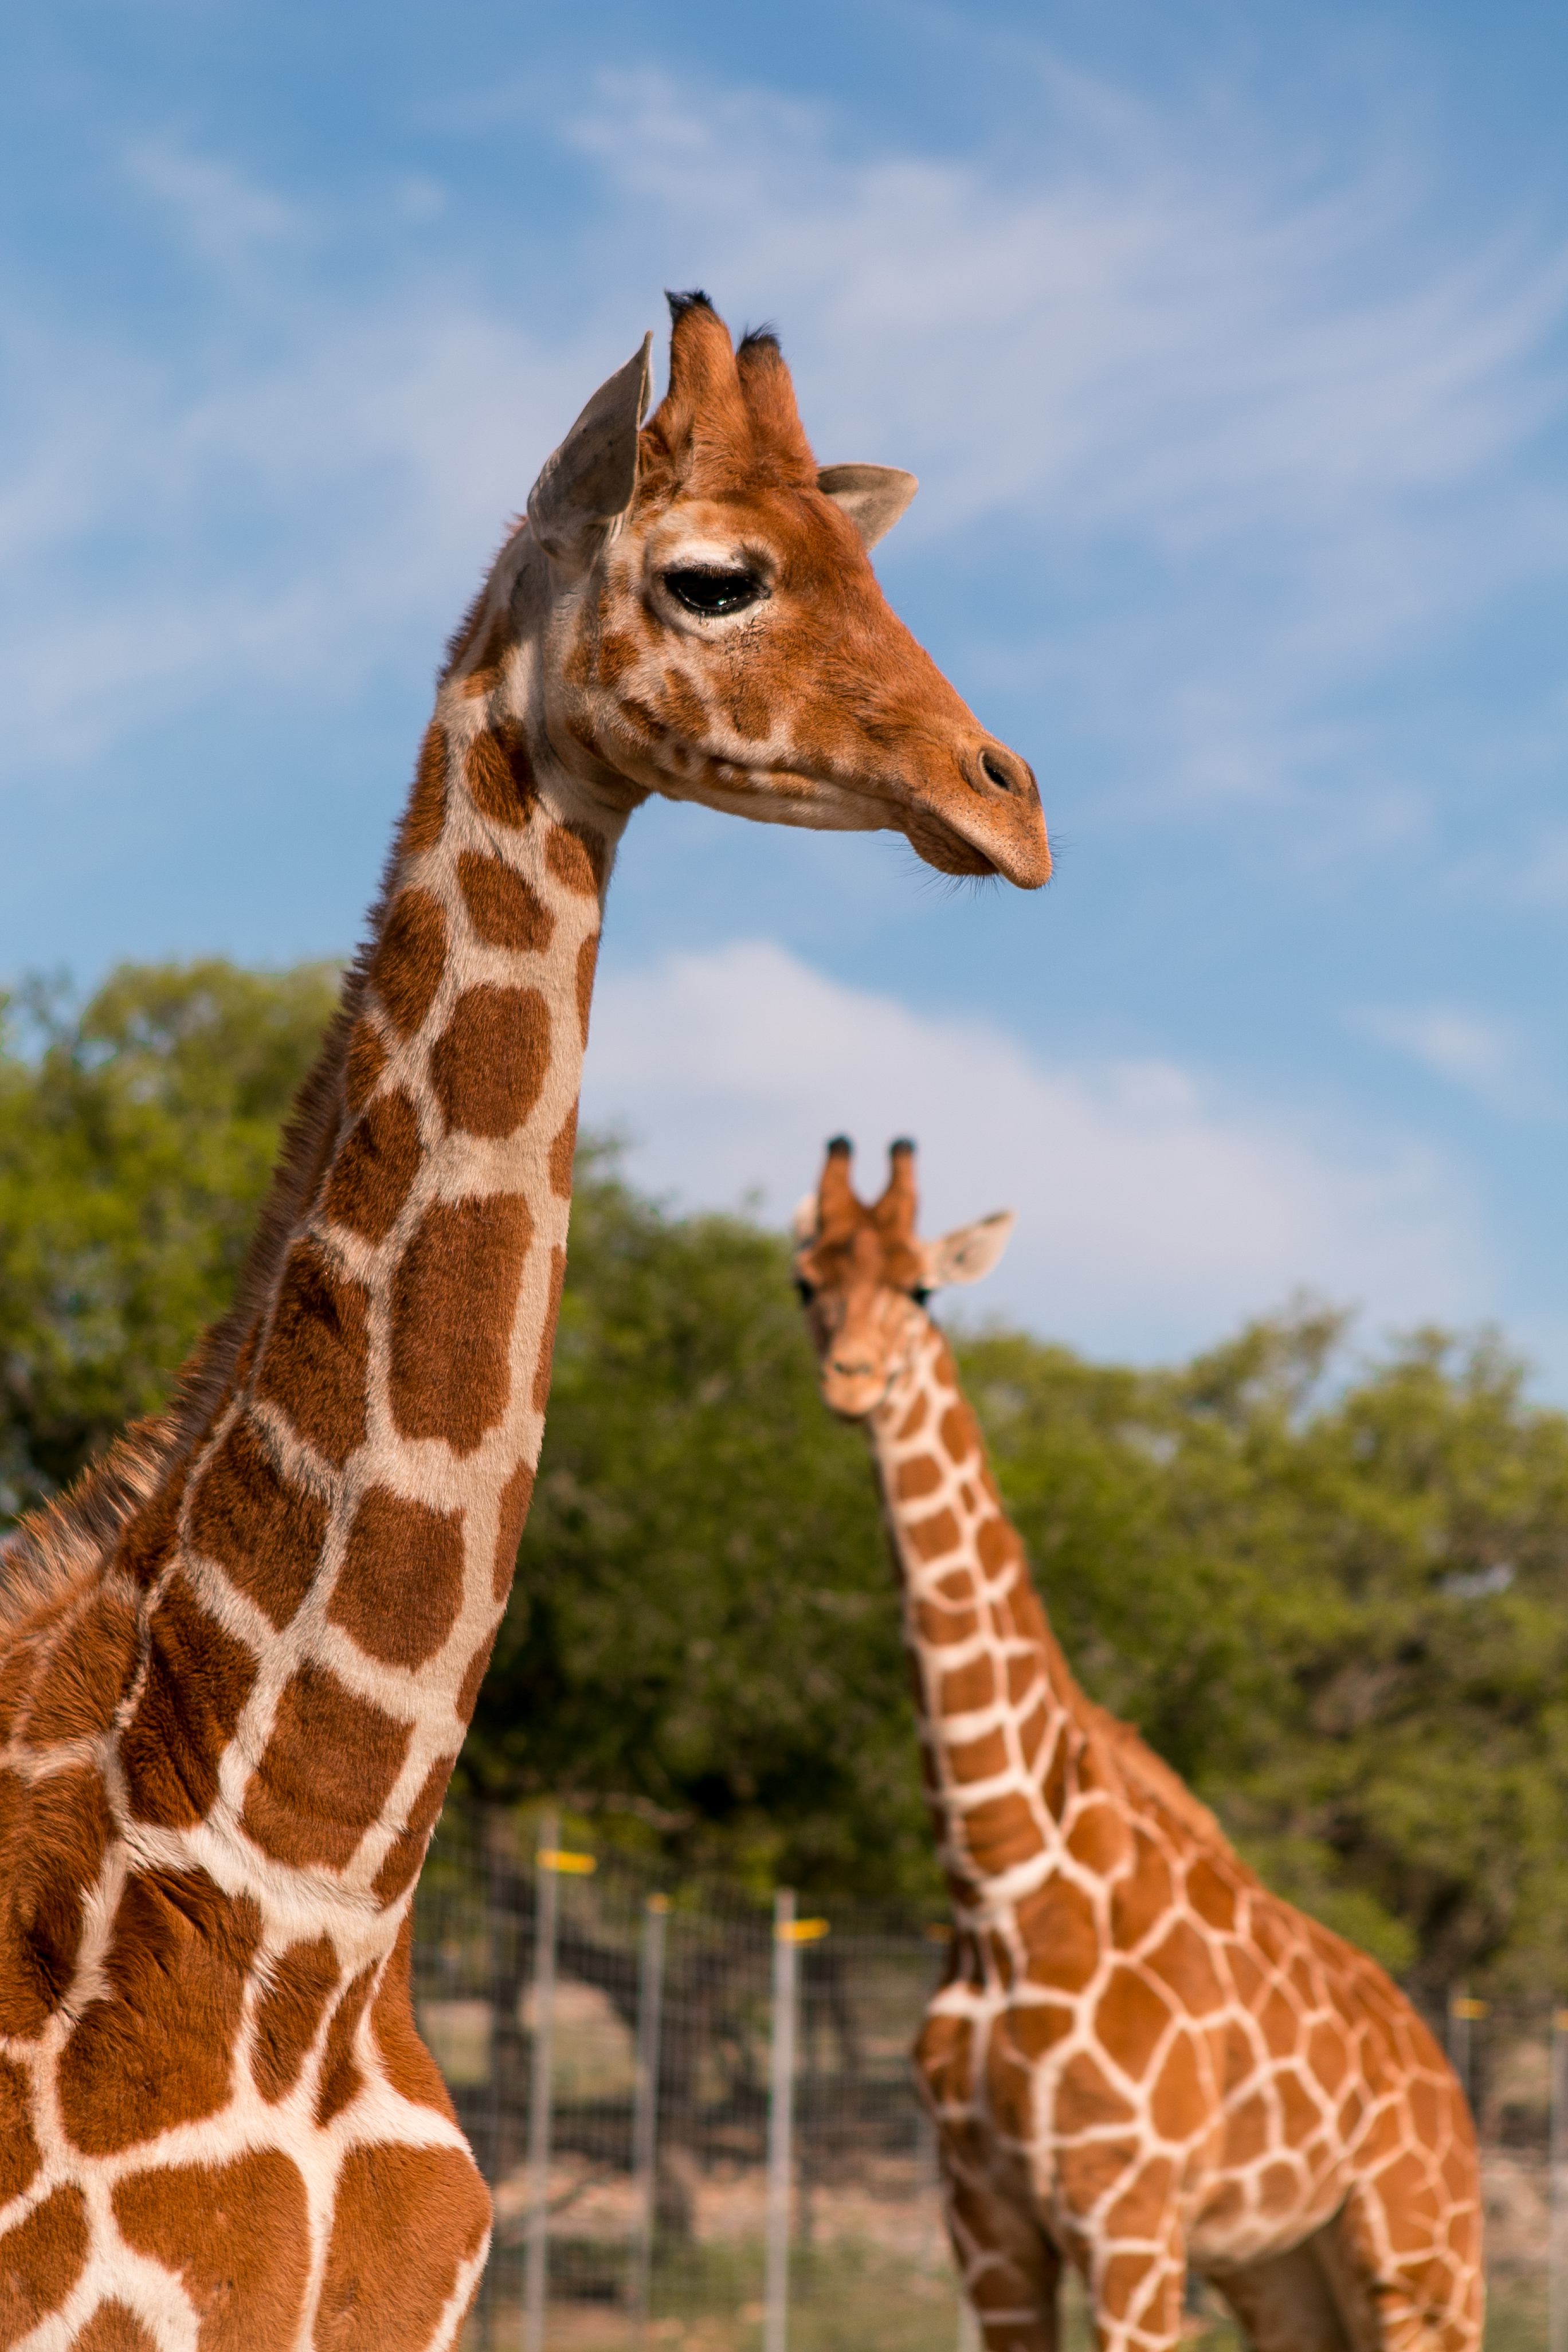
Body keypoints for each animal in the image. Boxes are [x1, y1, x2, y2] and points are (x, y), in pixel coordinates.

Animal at [792, 1138, 1482, 2352]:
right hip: (1286, 2267)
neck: (1000, 1880)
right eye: (804, 1281)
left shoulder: (1128, 2210)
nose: (852, 1378)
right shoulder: (983, 2220)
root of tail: (1442, 2064)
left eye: (922, 1287)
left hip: (1422, 2260)